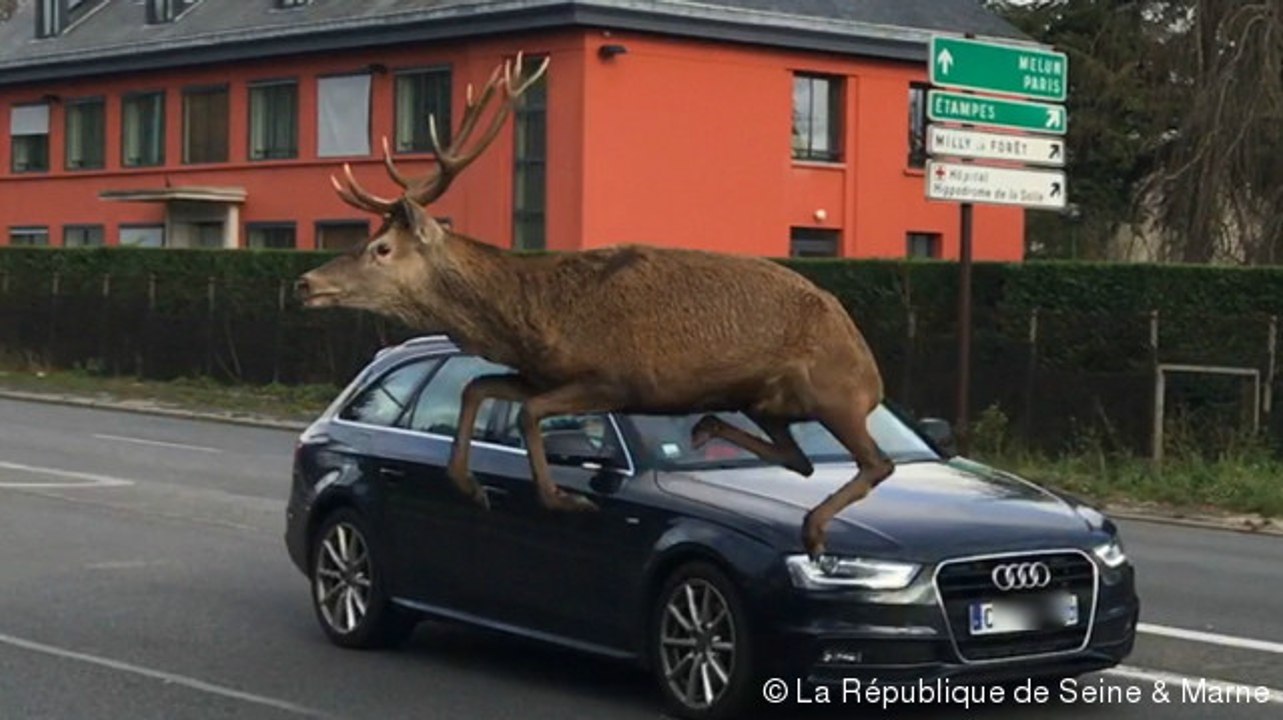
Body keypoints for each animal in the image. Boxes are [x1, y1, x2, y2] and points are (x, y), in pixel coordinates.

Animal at [294, 53, 894, 560]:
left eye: (381, 248)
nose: (304, 282)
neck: (532, 319)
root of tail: (871, 369)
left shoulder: (616, 378)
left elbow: (528, 414)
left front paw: (564, 499)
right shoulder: (539, 373)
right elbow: (477, 387)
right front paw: (469, 484)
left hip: (833, 392)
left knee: (874, 461)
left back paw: (813, 528)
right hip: (769, 403)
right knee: (800, 458)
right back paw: (709, 429)